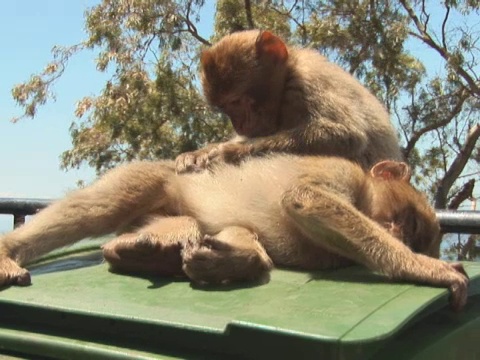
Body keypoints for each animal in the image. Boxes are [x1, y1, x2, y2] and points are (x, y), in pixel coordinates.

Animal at [0, 156, 468, 310]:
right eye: (406, 223)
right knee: (98, 208)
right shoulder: (342, 174)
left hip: (162, 214)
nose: (394, 232)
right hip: (153, 177)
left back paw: (139, 255)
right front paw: (425, 267)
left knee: (213, 229)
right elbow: (306, 198)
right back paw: (9, 252)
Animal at [175, 30, 402, 174]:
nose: (238, 124)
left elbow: (348, 136)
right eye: (224, 107)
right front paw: (195, 155)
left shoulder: (308, 83)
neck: (288, 74)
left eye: (236, 101)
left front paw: (230, 154)